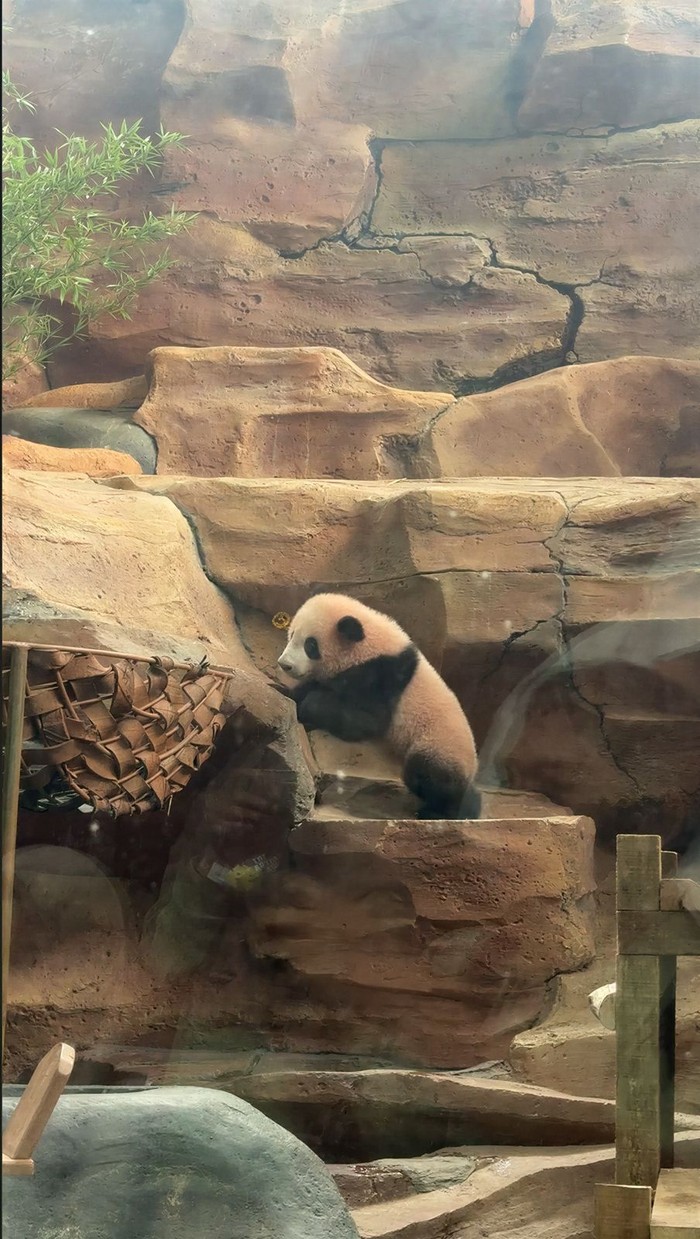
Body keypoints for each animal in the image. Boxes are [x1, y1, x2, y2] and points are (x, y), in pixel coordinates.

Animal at [276, 592, 481, 821]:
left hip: (438, 745)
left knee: (427, 775)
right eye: (292, 634)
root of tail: (472, 769)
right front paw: (283, 691)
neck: (368, 646)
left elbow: (366, 721)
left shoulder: (382, 676)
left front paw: (310, 707)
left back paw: (439, 811)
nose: (285, 664)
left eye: (310, 645)